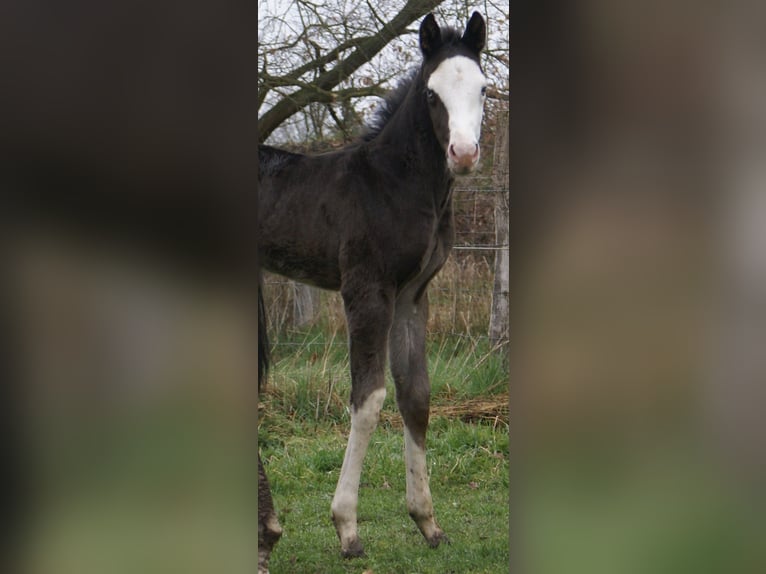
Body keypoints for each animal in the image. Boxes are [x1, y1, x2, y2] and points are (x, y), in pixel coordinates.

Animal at [258, 11, 487, 561]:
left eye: (484, 89)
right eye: (431, 94)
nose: (463, 153)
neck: (393, 185)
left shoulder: (411, 297)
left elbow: (416, 394)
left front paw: (427, 522)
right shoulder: (367, 291)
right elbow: (369, 399)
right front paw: (347, 528)